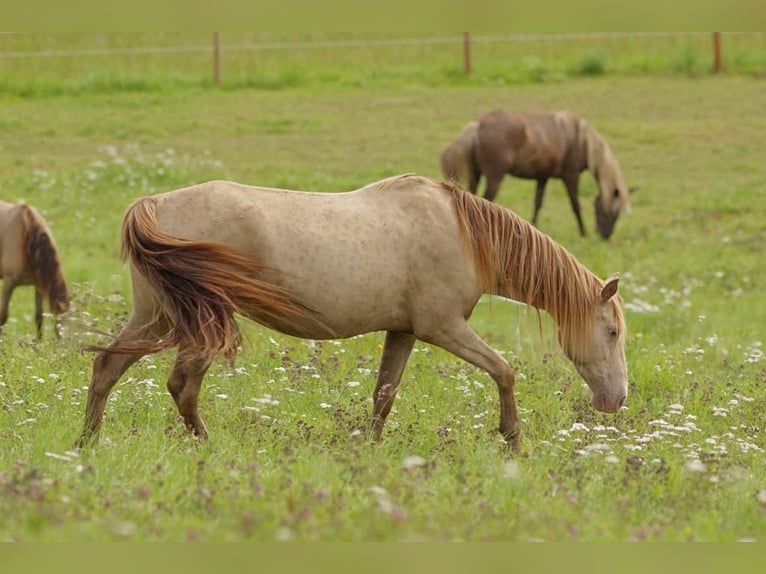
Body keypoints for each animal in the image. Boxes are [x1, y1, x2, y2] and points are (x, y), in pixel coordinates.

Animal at [0, 201, 70, 340]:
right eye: (59, 325)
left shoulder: (38, 285)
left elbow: (39, 317)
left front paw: (38, 343)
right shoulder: (8, 282)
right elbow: (3, 317)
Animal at [79, 176, 632, 454]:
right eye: (611, 331)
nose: (617, 399)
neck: (463, 233)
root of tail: (153, 204)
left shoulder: (403, 331)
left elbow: (383, 396)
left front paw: (366, 452)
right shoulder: (444, 328)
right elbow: (504, 371)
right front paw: (513, 440)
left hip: (156, 317)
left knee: (108, 367)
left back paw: (86, 443)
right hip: (200, 321)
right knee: (181, 385)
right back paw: (207, 447)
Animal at [440, 110, 632, 238]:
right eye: (612, 213)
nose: (605, 236)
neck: (581, 140)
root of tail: (477, 125)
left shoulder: (542, 177)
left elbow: (538, 203)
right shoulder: (571, 176)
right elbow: (575, 204)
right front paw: (583, 232)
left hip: (476, 175)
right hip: (495, 177)